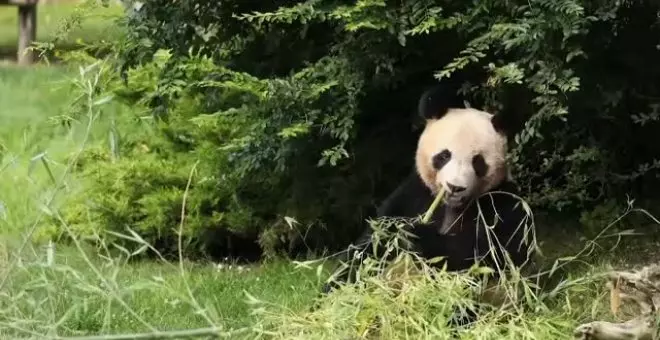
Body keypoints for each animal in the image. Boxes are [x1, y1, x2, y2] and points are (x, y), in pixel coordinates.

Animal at [320, 81, 536, 312]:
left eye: (478, 162)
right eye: (444, 155)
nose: (455, 187)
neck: (451, 205)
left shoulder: (502, 204)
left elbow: (489, 257)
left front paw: (418, 235)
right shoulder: (415, 194)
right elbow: (372, 246)